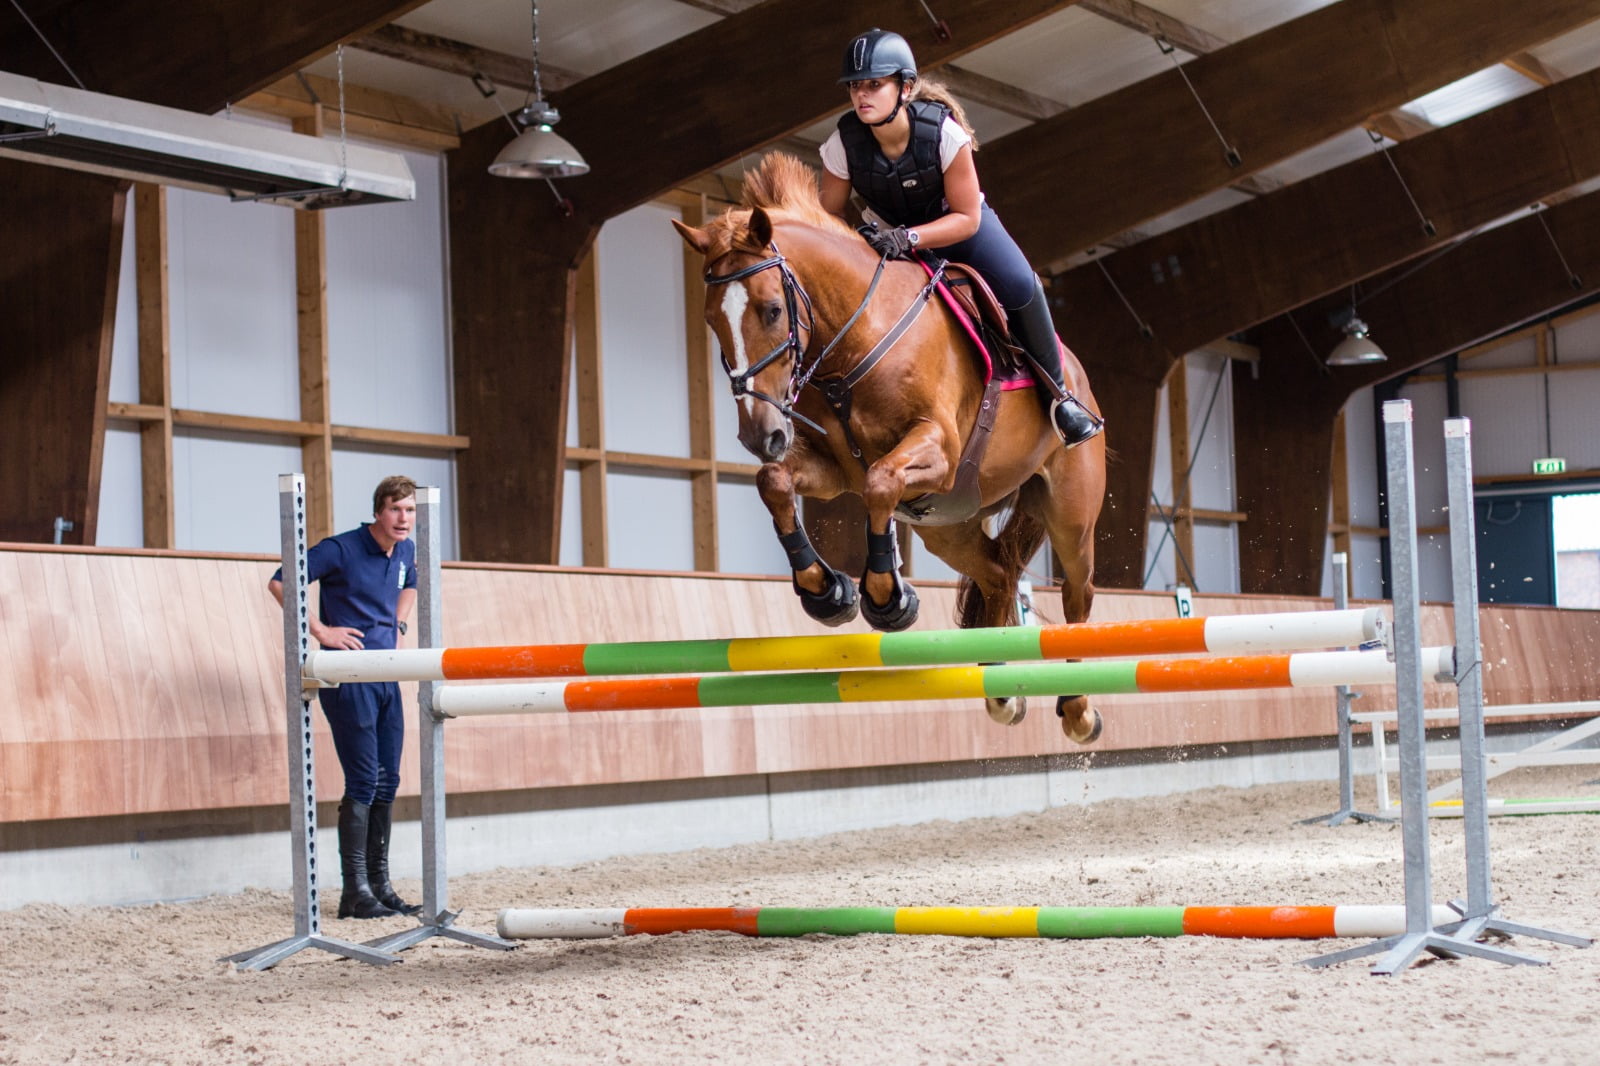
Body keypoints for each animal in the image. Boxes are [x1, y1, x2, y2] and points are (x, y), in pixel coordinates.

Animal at [668, 153, 1107, 739]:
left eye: (771, 310)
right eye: (713, 320)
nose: (760, 435)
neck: (856, 338)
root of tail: (1078, 373)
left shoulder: (938, 451)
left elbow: (880, 483)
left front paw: (887, 598)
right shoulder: (833, 468)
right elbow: (775, 481)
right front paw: (825, 591)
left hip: (1069, 514)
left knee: (1078, 593)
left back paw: (1078, 709)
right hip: (950, 522)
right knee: (996, 572)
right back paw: (1001, 691)